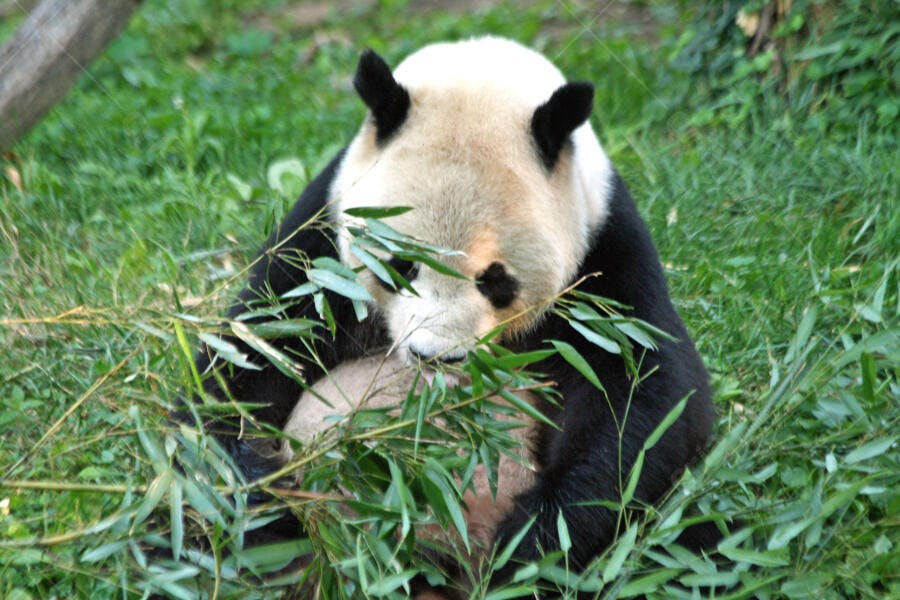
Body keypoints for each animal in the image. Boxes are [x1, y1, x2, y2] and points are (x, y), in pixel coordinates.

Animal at [192, 36, 717, 592]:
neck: (481, 71)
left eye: (495, 279)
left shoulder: (604, 254)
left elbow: (643, 400)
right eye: (400, 265)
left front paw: (527, 548)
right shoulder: (320, 240)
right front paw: (270, 509)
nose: (435, 357)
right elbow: (246, 363)